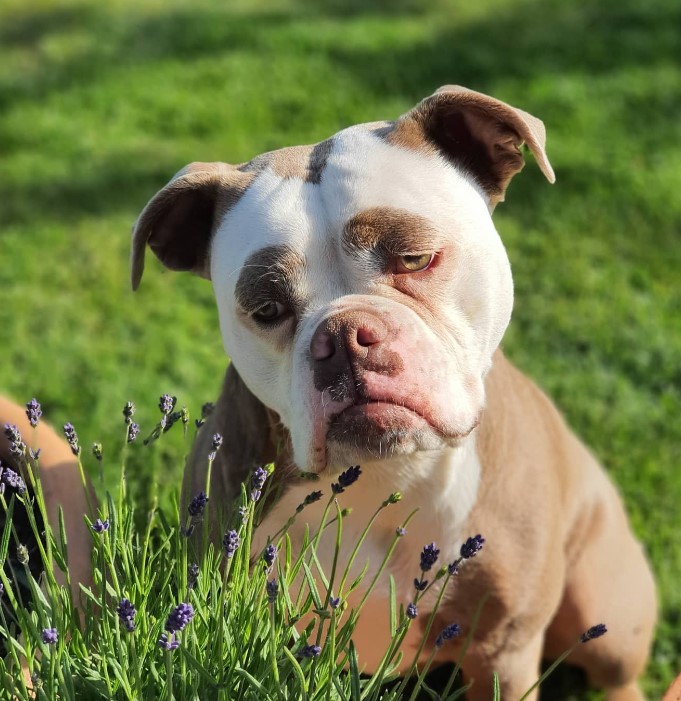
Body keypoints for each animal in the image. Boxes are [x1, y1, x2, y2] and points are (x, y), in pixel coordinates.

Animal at [130, 85, 656, 696]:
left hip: (608, 615)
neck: (386, 473)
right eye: (266, 308)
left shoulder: (504, 653)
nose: (344, 338)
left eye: (415, 258)